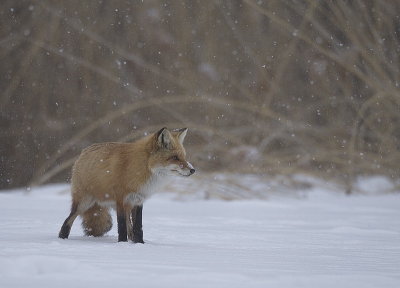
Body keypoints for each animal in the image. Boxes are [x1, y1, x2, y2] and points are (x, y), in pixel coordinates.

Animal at [59, 127, 195, 242]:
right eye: (175, 157)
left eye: (183, 157)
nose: (193, 170)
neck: (142, 168)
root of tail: (83, 152)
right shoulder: (120, 199)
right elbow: (122, 226)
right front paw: (122, 244)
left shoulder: (138, 200)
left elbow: (138, 227)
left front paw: (139, 243)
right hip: (84, 202)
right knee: (68, 220)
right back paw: (62, 238)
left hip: (126, 206)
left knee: (130, 228)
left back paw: (132, 240)